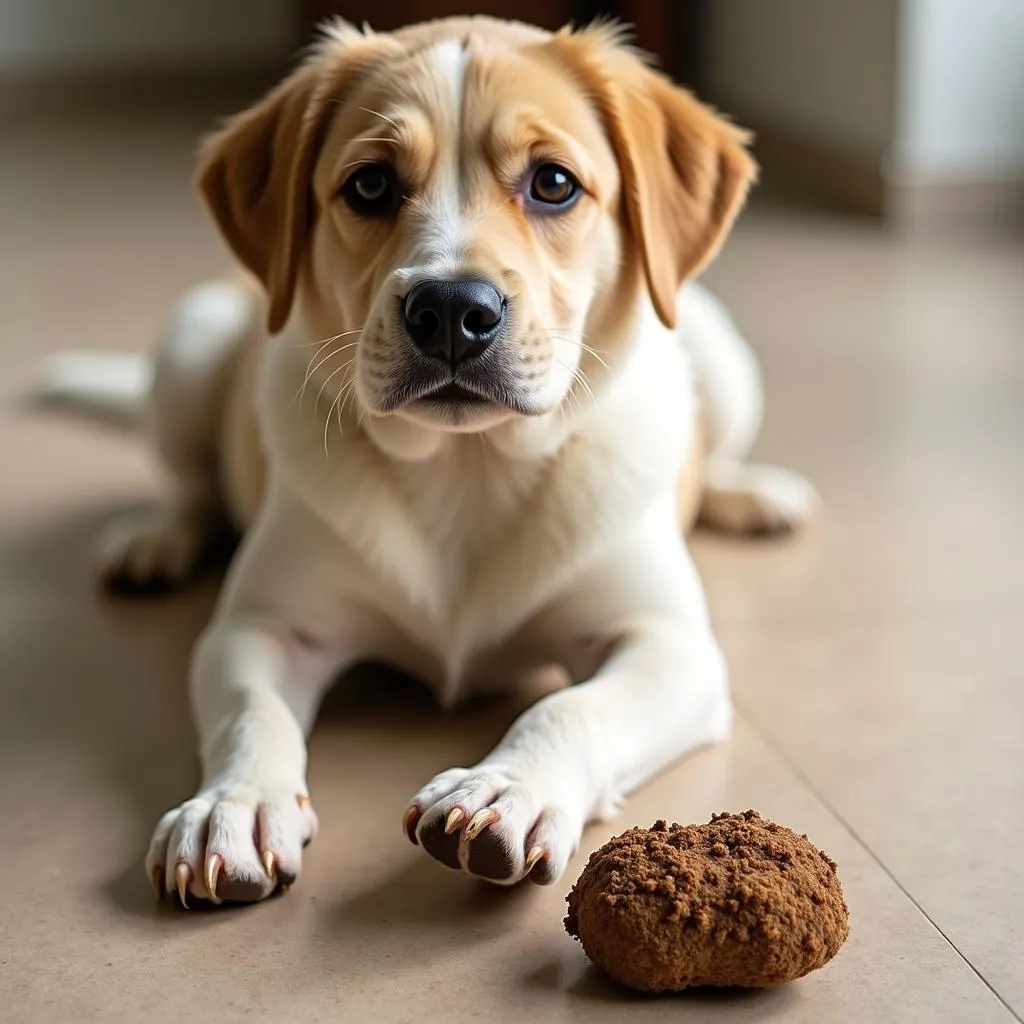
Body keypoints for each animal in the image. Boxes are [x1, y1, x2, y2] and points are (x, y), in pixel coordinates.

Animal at [39, 16, 819, 905]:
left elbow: (569, 708)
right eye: (371, 186)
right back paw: (157, 540)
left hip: (721, 351)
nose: (451, 309)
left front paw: (507, 790)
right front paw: (232, 807)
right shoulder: (259, 628)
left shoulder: (670, 647)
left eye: (554, 183)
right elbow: (251, 713)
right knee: (189, 483)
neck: (465, 469)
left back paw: (753, 495)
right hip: (191, 340)